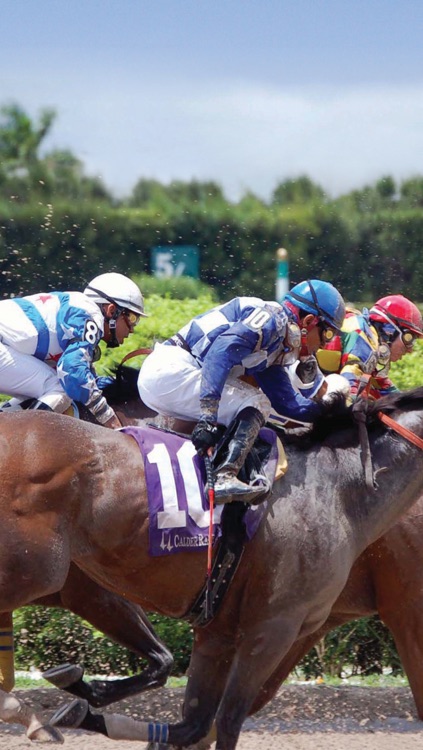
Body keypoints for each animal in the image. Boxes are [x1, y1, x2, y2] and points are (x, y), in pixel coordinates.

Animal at [0, 390, 423, 748]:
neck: (339, 490)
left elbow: (194, 721)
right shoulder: (273, 628)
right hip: (36, 571)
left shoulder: (219, 632)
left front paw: (81, 706)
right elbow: (228, 719)